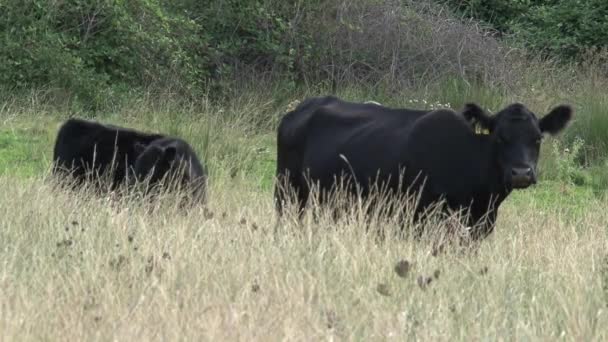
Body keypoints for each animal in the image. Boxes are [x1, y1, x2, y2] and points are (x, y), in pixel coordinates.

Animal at [274, 96, 572, 240]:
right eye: (500, 137)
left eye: (537, 138)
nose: (521, 173)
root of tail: (302, 107)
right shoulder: (420, 218)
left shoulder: (478, 227)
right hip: (287, 192)